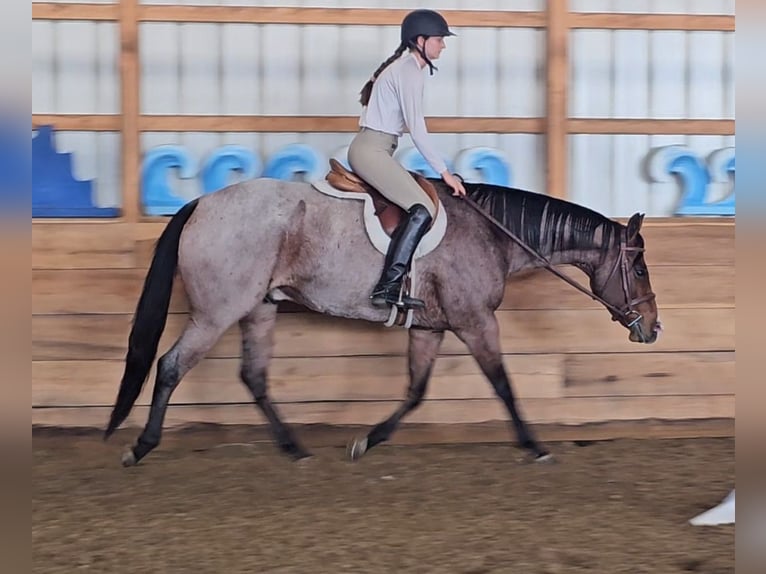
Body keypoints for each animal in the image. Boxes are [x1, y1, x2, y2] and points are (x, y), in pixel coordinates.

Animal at [105, 174, 664, 468]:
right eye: (638, 267)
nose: (653, 328)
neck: (494, 234)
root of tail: (202, 203)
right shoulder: (475, 321)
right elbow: (504, 385)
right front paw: (535, 445)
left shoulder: (431, 328)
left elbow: (415, 392)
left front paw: (366, 440)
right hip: (217, 311)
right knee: (171, 366)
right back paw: (141, 446)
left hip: (260, 308)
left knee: (254, 376)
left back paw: (294, 448)